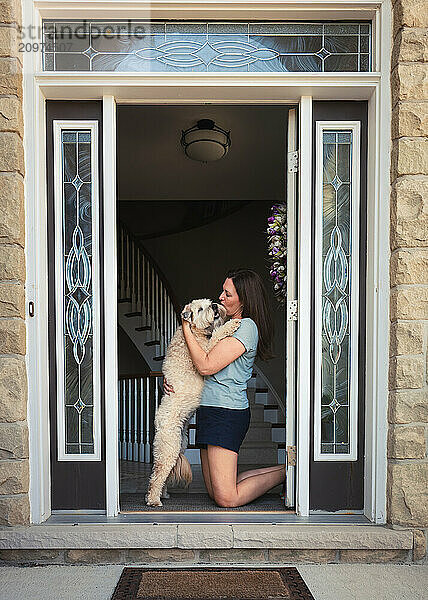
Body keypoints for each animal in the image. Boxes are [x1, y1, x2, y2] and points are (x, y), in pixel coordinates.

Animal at [146, 300, 241, 506]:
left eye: (210, 302)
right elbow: (217, 336)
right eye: (200, 309)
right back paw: (153, 499)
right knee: (157, 475)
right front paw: (231, 324)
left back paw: (163, 494)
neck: (195, 332)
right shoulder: (206, 355)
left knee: (165, 474)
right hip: (169, 448)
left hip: (179, 445)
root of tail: (158, 425)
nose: (215, 306)